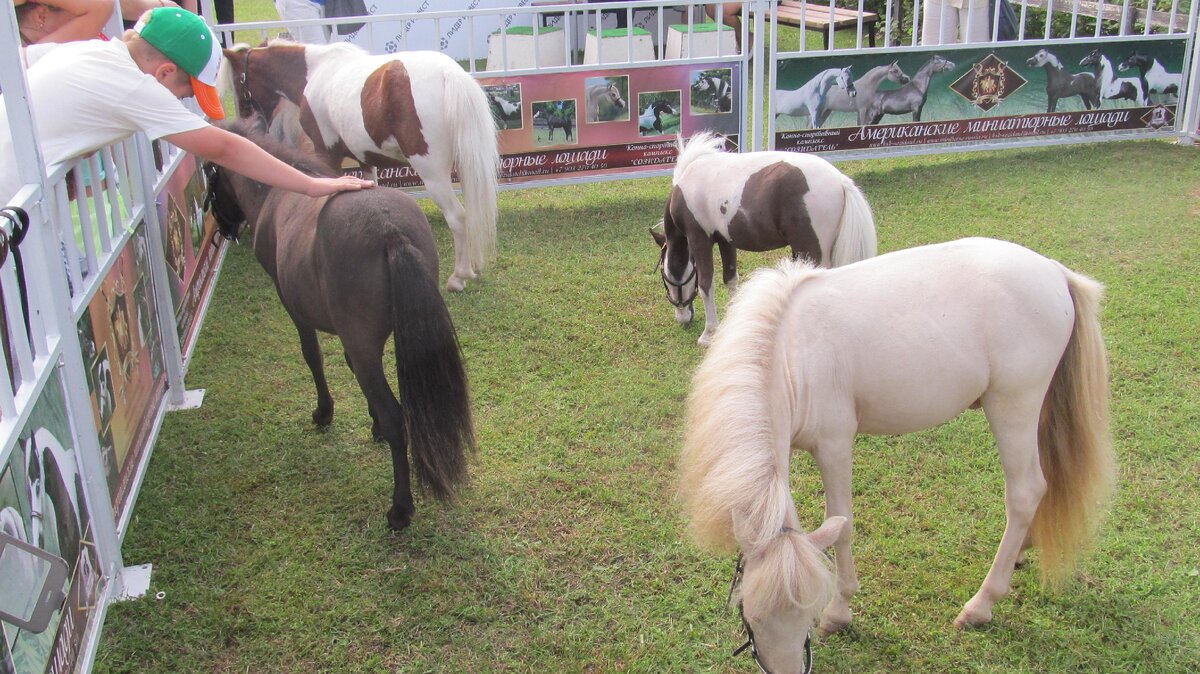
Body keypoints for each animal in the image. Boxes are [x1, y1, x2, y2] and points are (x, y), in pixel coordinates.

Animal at [204, 115, 470, 530]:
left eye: (212, 182)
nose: (224, 228)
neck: (278, 194)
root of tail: (389, 230)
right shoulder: (357, 338)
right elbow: (347, 364)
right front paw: (371, 423)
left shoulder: (295, 309)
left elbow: (312, 357)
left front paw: (324, 413)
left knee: (397, 417)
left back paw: (400, 509)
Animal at [223, 39, 499, 291]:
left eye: (238, 83)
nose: (247, 122)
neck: (316, 71)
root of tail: (448, 74)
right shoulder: (365, 159)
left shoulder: (326, 153)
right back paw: (473, 267)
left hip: (433, 174)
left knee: (457, 216)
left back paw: (459, 277)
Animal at [652, 133, 878, 347]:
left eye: (665, 275)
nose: (683, 318)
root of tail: (840, 181)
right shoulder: (726, 240)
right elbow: (731, 279)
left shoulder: (699, 239)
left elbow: (706, 284)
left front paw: (708, 334)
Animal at [681, 237, 1108, 671]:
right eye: (751, 614)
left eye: (807, 614)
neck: (793, 351)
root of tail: (1055, 272)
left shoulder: (834, 446)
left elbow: (842, 522)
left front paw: (840, 611)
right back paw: (1021, 553)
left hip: (1013, 406)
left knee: (1025, 493)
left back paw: (981, 604)